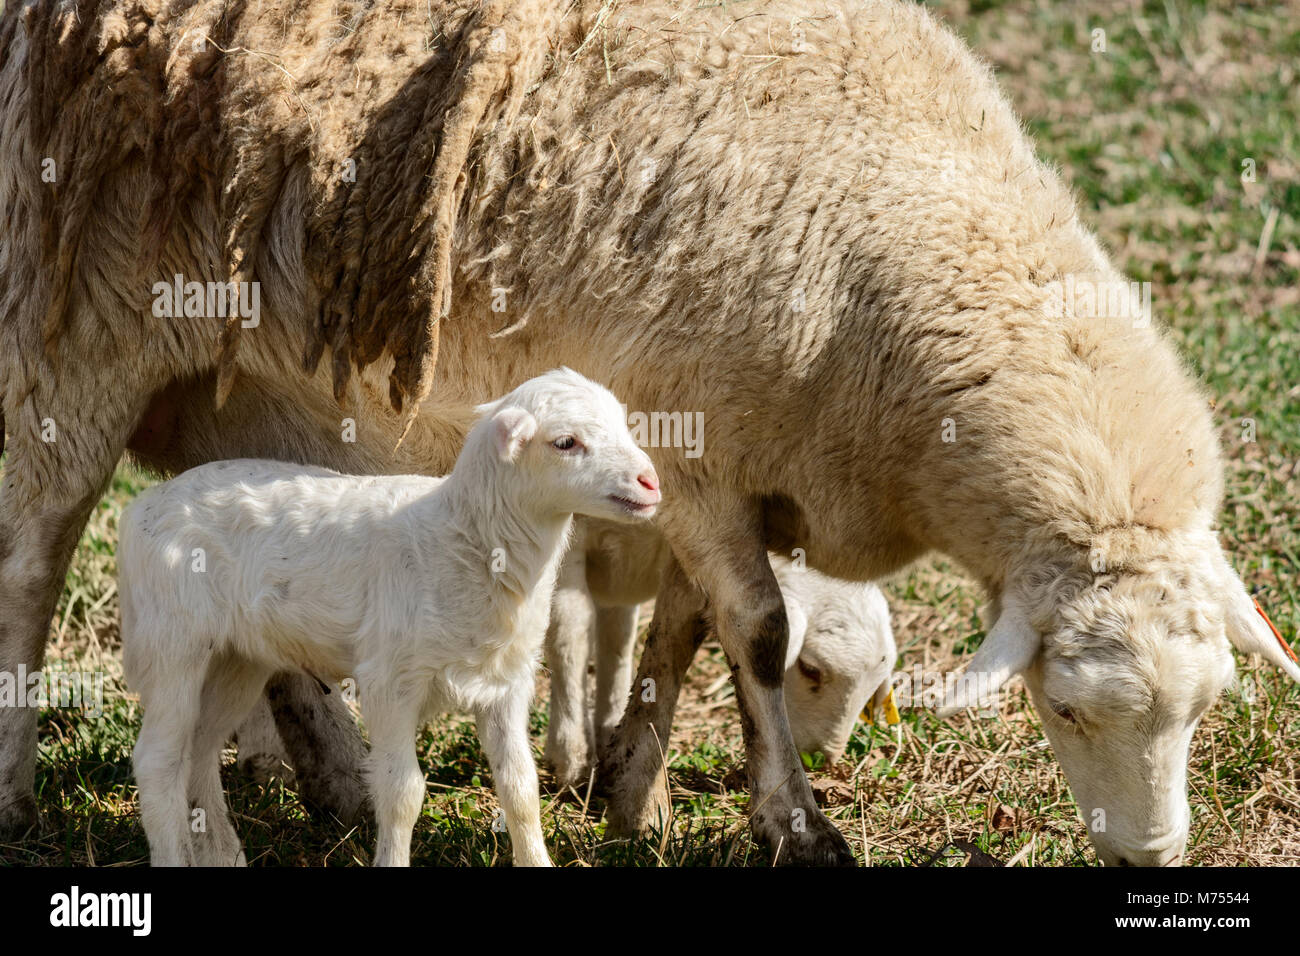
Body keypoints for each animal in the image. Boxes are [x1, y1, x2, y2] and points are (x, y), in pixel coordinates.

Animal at [118, 368, 661, 866]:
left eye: (621, 424)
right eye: (565, 442)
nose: (650, 482)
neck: (470, 538)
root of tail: (139, 508)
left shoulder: (506, 683)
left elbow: (520, 788)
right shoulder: (391, 680)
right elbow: (402, 793)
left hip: (236, 658)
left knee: (199, 749)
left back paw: (220, 854)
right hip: (174, 642)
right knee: (158, 761)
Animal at [543, 520, 896, 788]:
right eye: (811, 669)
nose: (823, 760)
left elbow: (622, 638)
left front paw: (610, 732)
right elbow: (568, 633)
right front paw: (572, 757)